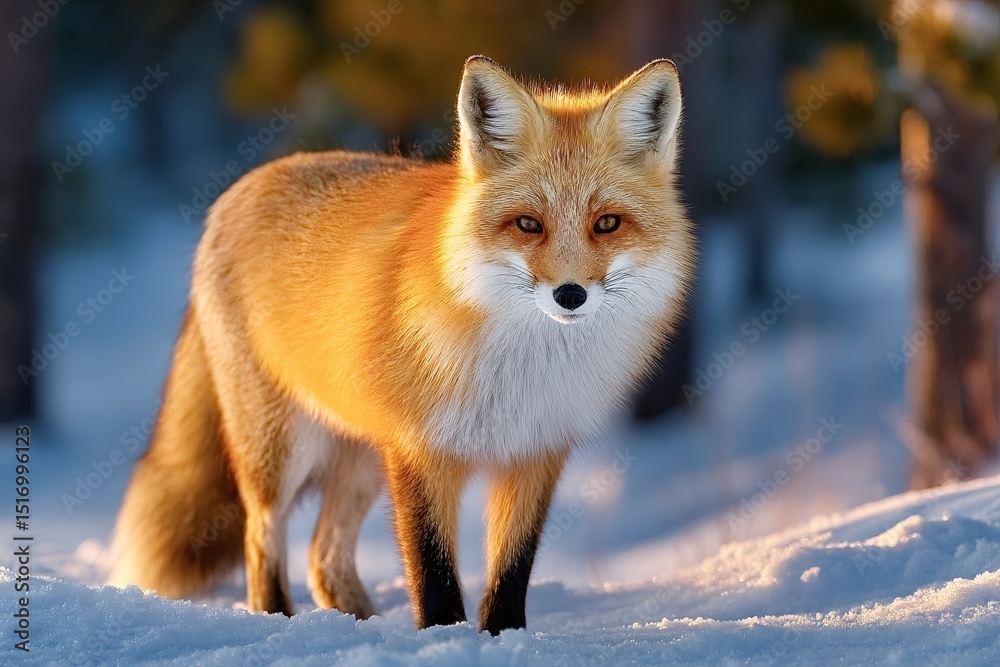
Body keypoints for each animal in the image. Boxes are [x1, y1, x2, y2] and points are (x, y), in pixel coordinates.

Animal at [110, 55, 695, 634]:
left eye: (607, 223)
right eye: (529, 224)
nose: (570, 294)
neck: (520, 368)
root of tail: (238, 189)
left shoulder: (535, 453)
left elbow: (511, 572)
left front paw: (502, 638)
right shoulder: (419, 451)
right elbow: (433, 573)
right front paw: (444, 639)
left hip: (363, 458)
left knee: (324, 559)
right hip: (282, 449)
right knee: (263, 537)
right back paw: (278, 619)